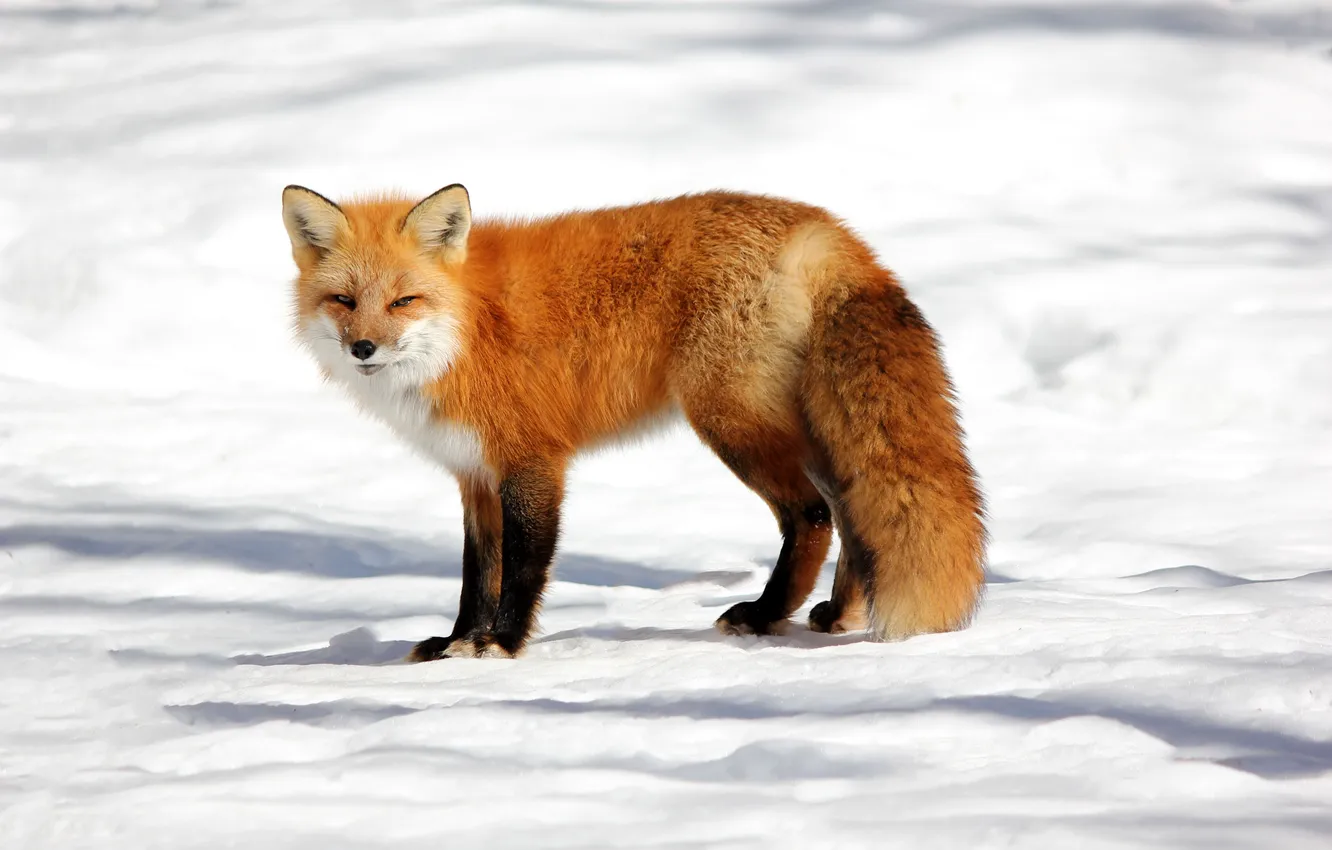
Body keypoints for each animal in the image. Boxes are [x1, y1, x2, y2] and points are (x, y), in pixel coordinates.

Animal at [281, 183, 986, 661]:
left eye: (404, 301)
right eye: (344, 300)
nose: (362, 348)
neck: (466, 328)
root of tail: (821, 227)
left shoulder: (532, 461)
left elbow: (524, 567)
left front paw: (501, 644)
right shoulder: (474, 473)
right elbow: (477, 575)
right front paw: (457, 641)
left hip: (730, 423)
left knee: (811, 514)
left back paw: (764, 614)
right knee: (847, 508)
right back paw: (837, 612)